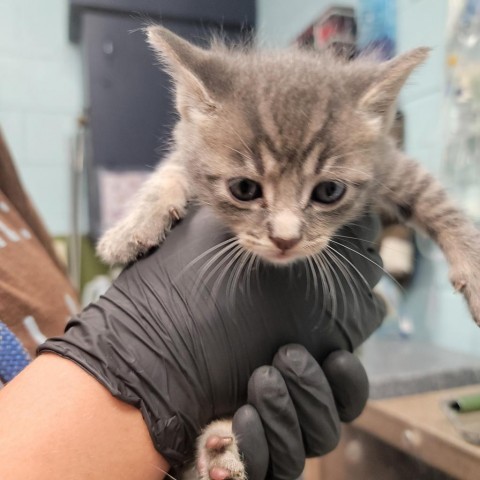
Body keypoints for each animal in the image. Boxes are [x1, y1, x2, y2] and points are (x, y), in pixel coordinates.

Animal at [97, 27, 480, 480]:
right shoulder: (186, 154)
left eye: (329, 191)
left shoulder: (391, 165)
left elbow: (437, 201)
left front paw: (474, 269)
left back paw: (219, 449)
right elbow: (169, 173)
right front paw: (132, 228)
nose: (285, 238)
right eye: (244, 189)